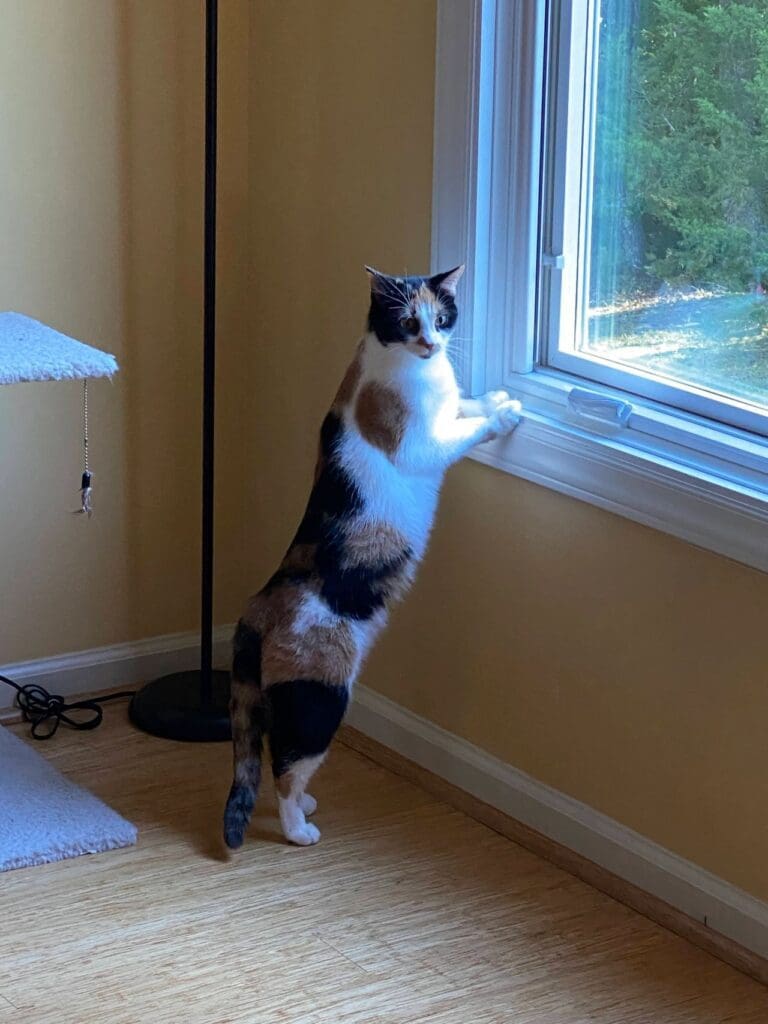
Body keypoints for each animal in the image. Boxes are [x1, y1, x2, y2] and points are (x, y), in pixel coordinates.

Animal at [224, 264, 524, 847]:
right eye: (407, 321)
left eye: (442, 315)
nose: (431, 342)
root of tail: (259, 604)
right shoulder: (423, 444)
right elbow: (465, 429)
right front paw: (502, 417)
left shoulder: (448, 398)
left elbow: (466, 403)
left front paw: (497, 397)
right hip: (320, 700)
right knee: (284, 765)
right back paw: (299, 828)